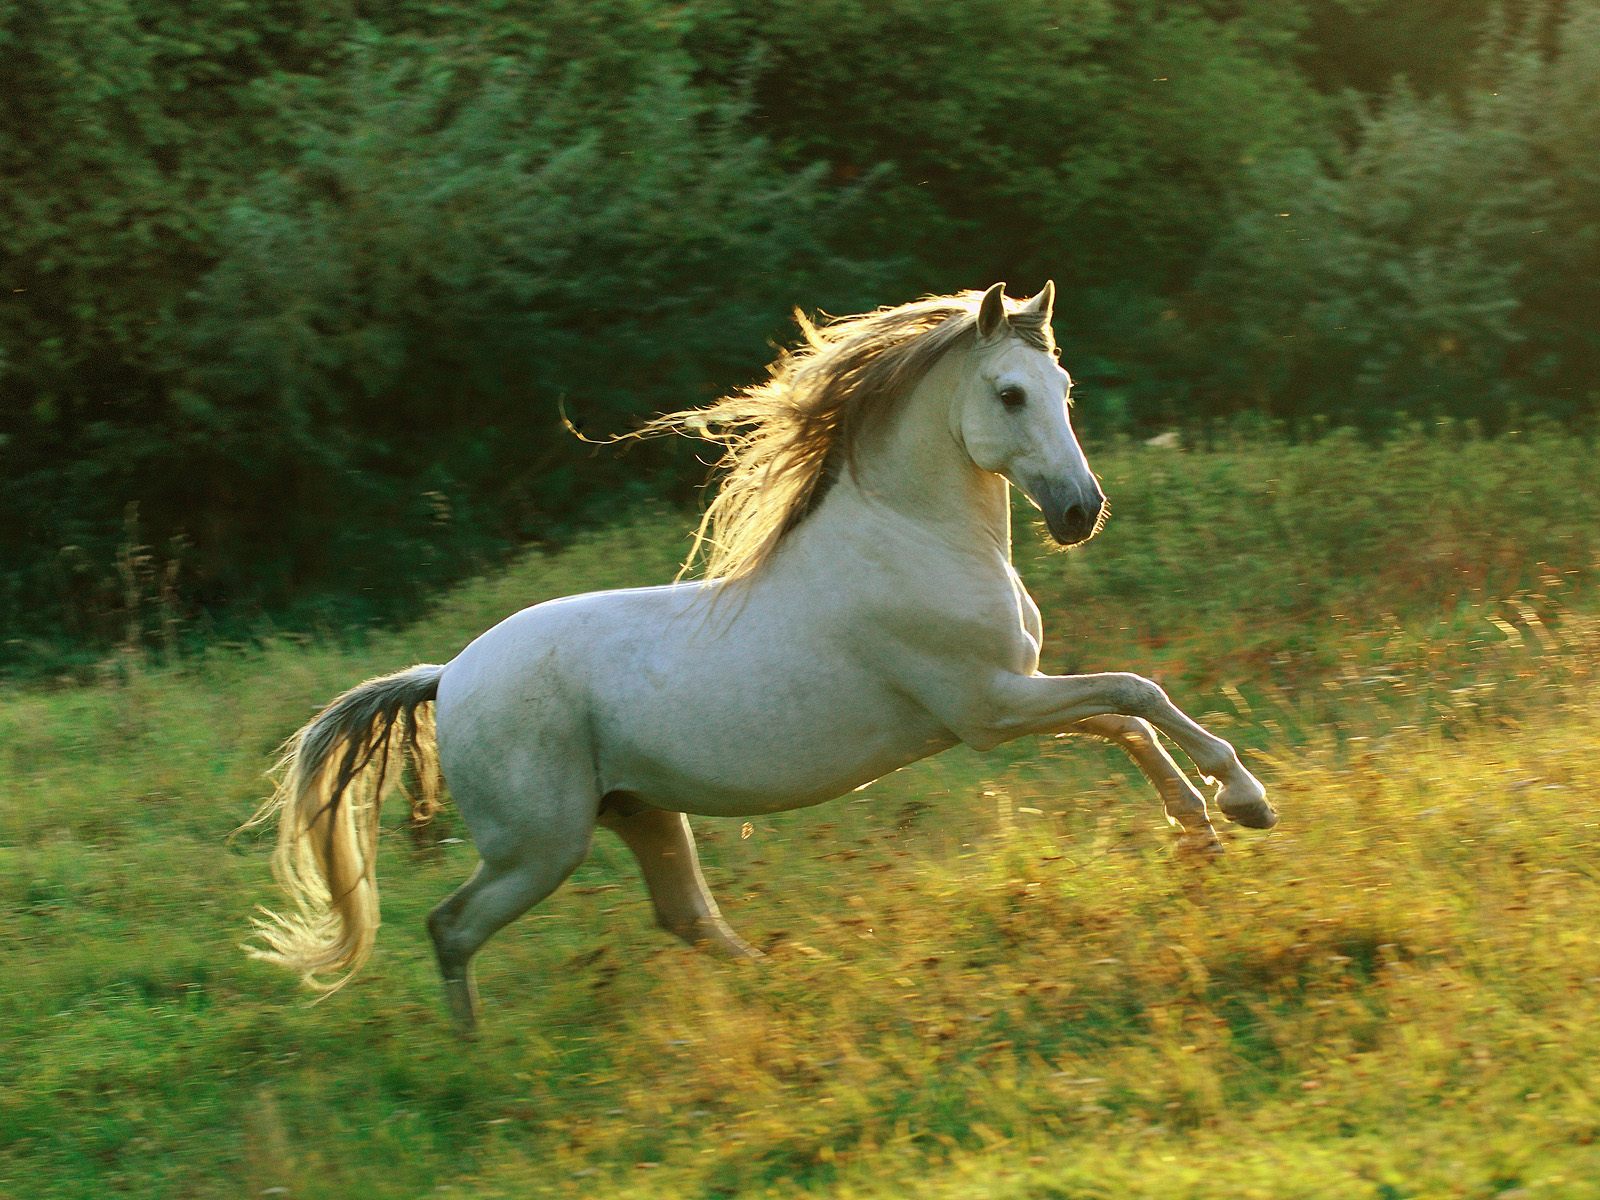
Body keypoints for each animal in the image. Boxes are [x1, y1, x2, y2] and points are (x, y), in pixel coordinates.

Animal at [245, 282, 1276, 1033]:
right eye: (1010, 394)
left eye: (1063, 392)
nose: (1079, 512)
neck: (913, 538)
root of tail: (447, 676)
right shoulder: (988, 708)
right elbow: (1137, 694)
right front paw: (1243, 800)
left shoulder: (1009, 698)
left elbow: (1126, 720)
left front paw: (1201, 829)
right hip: (539, 845)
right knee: (451, 926)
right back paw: (477, 1055)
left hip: (639, 812)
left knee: (685, 917)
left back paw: (792, 984)